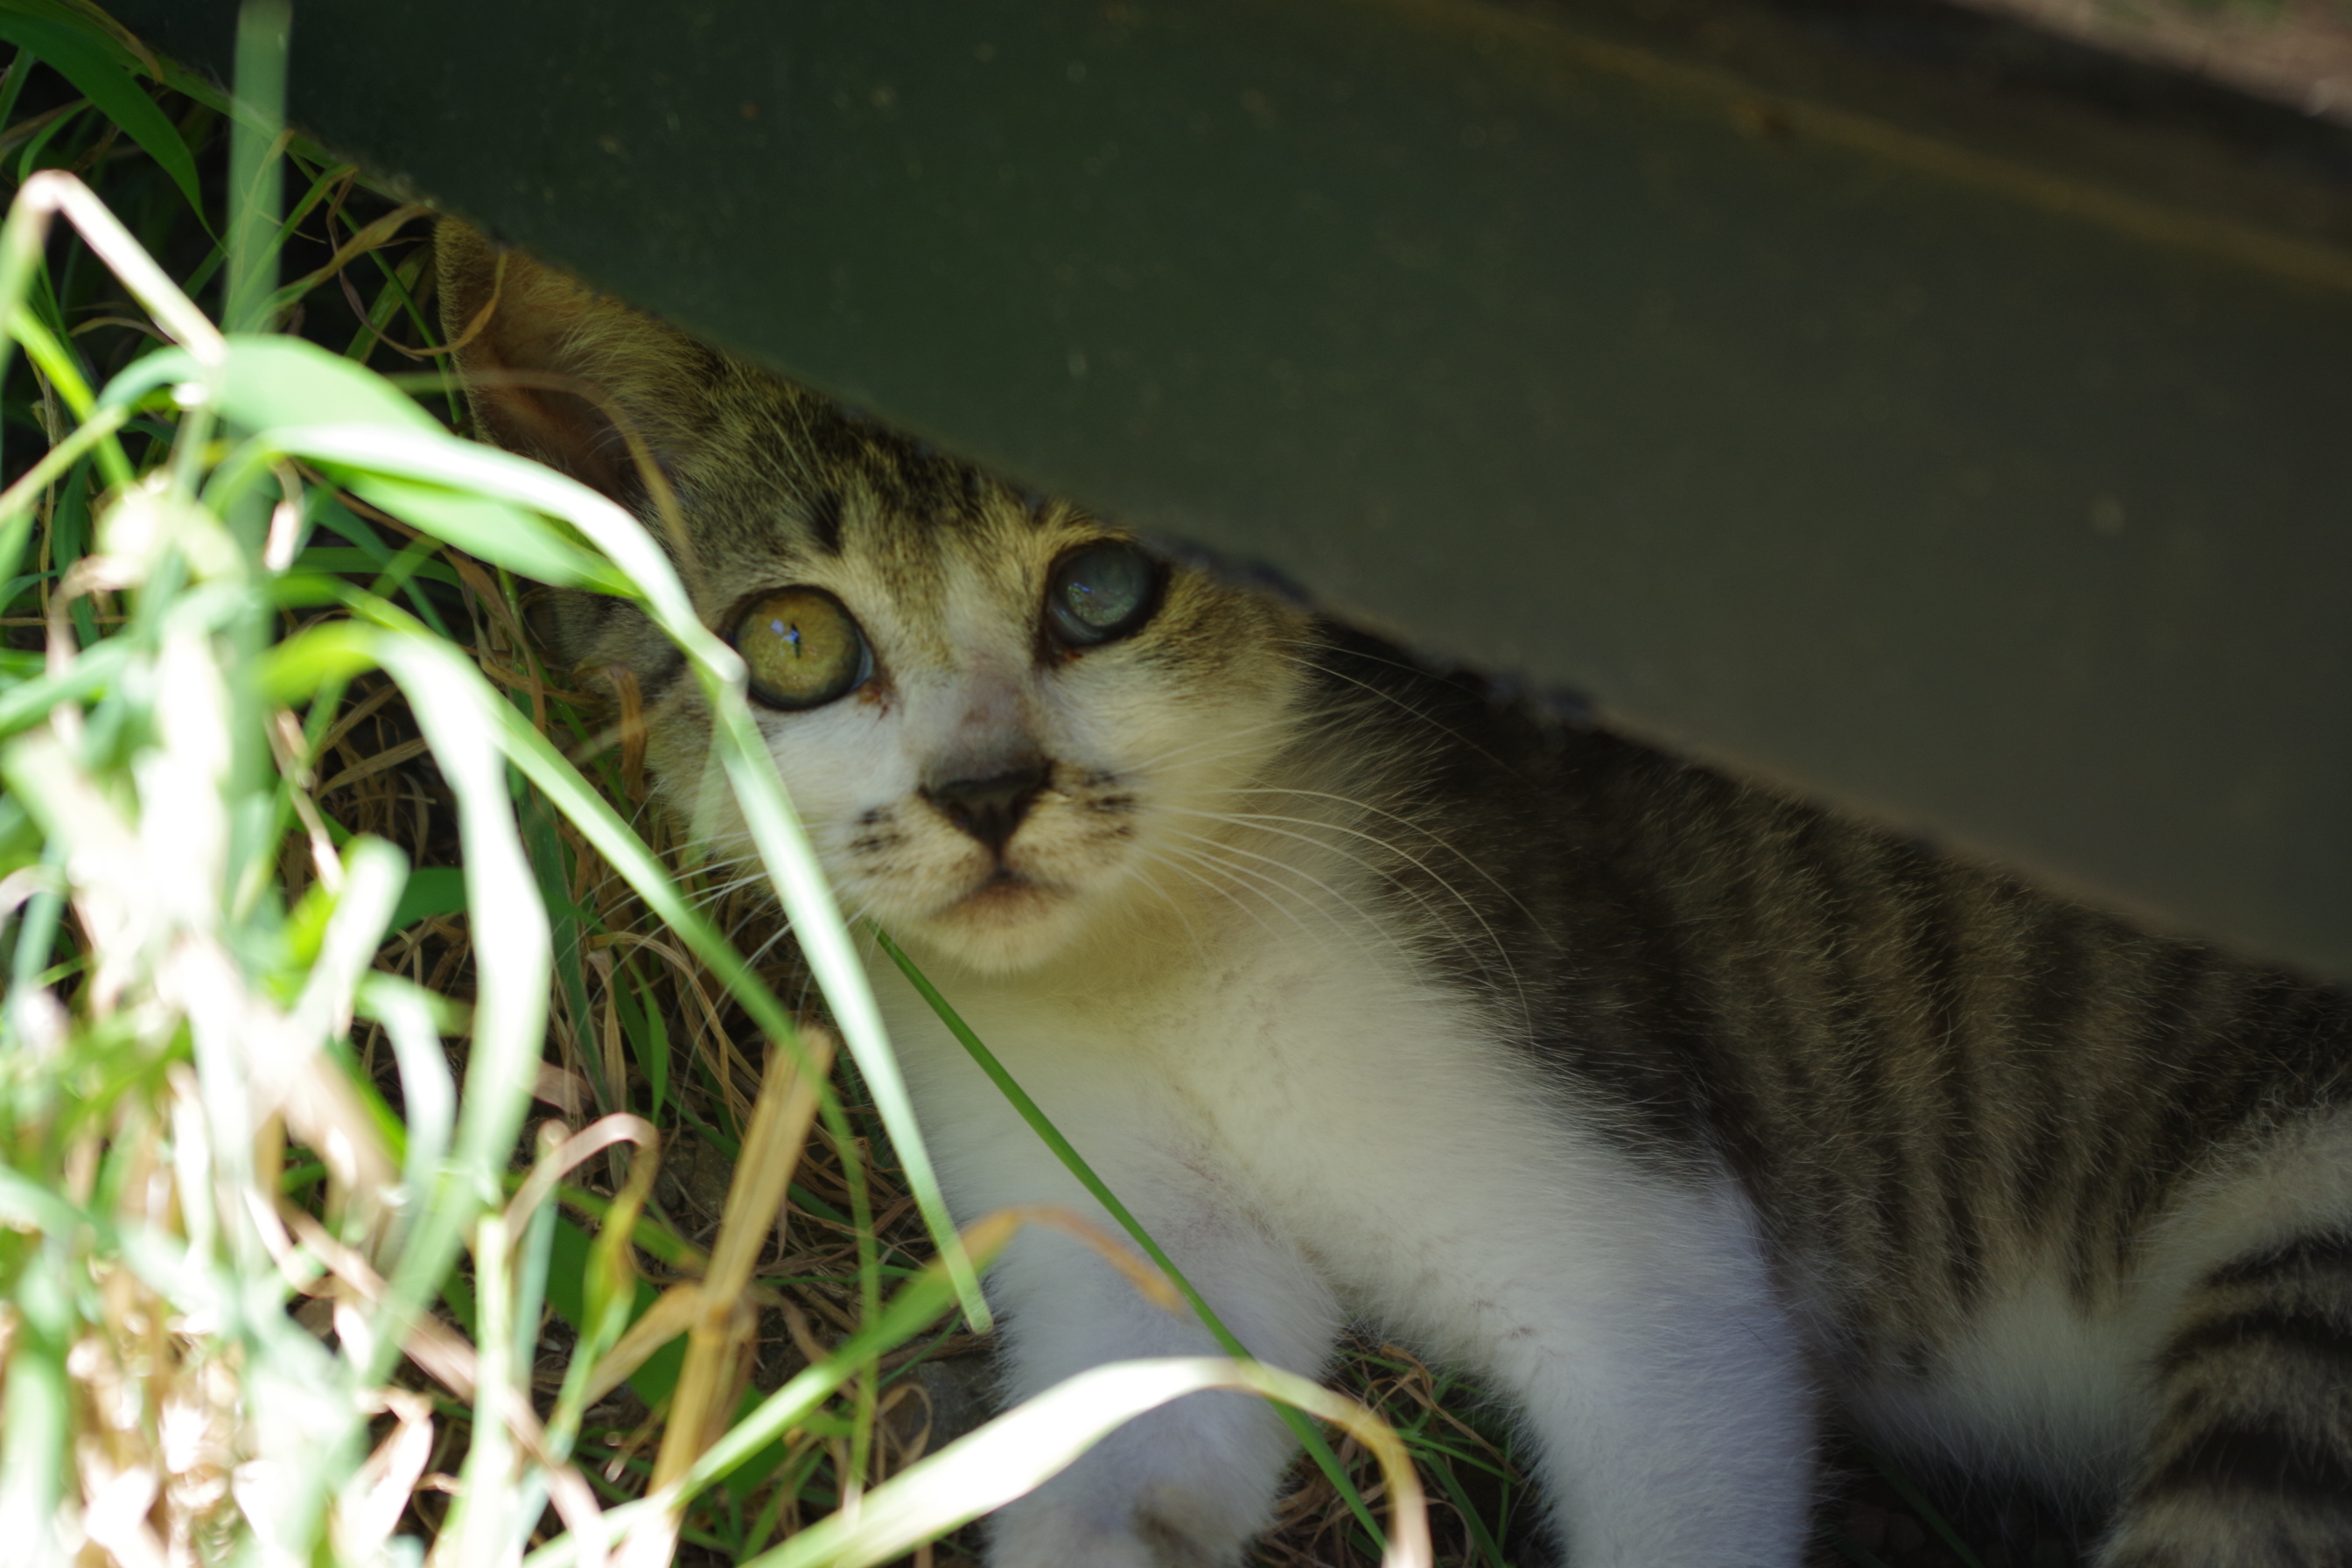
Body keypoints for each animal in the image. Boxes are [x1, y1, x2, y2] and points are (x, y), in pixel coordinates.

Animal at [437, 223, 2352, 1568]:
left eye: (1104, 589)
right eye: (794, 645)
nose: (985, 795)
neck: (1152, 971)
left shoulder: (1645, 1262)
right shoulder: (1134, 1235)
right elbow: (1133, 1452)